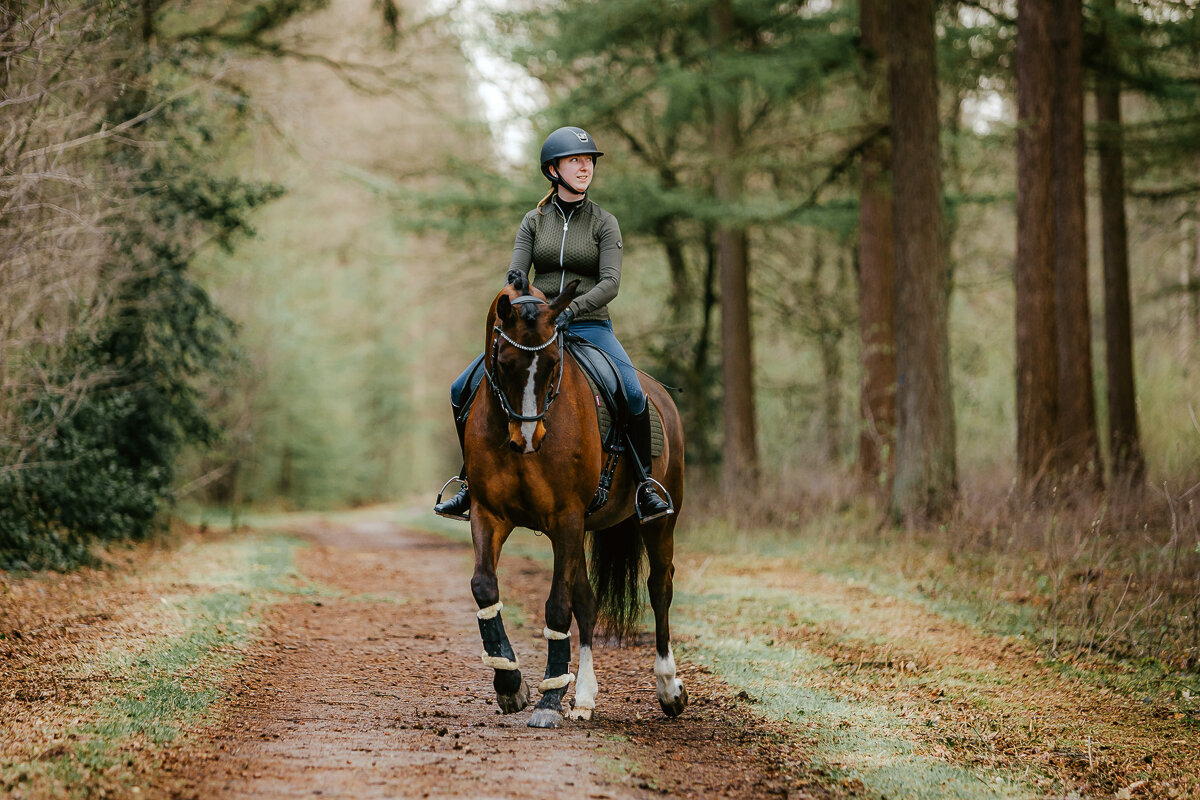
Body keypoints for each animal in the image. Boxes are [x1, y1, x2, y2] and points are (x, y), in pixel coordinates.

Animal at [460, 278, 686, 729]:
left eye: (552, 362)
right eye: (504, 362)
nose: (528, 439)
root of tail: (659, 395)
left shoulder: (565, 517)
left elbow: (557, 607)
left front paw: (548, 702)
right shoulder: (490, 514)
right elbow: (485, 587)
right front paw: (512, 686)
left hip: (657, 522)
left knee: (659, 589)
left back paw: (669, 688)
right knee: (589, 601)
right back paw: (582, 696)